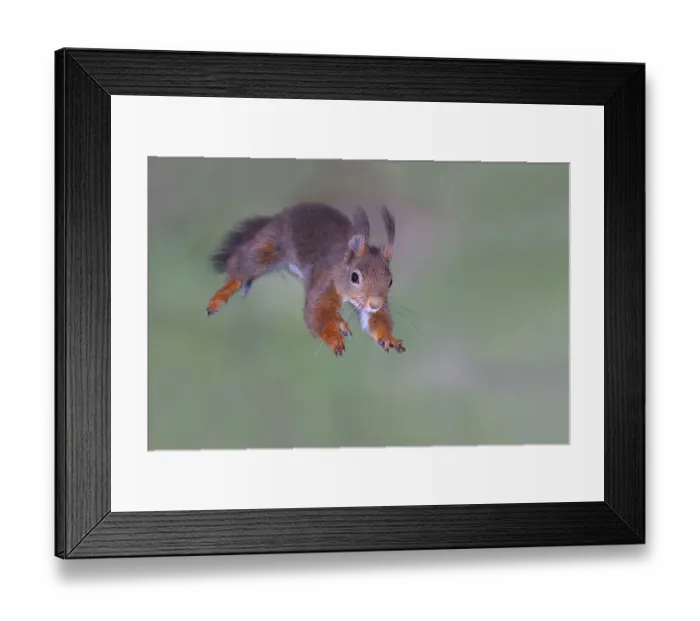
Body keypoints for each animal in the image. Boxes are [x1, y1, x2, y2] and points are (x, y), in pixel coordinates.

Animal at [206, 202, 405, 357]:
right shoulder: (325, 282)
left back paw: (340, 322)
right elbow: (316, 314)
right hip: (269, 245)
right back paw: (221, 295)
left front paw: (388, 337)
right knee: (240, 265)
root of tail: (277, 216)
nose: (375, 303)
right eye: (354, 277)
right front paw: (333, 338)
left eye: (390, 281)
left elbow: (377, 319)